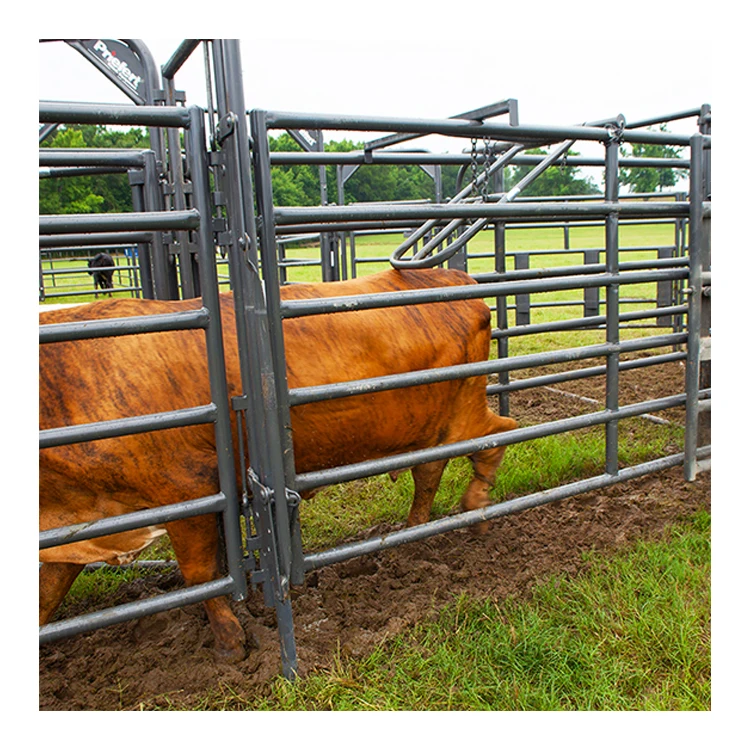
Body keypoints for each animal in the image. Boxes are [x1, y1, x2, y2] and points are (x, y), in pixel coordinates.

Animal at [39, 268, 518, 663]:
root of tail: (452, 276)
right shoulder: (75, 531)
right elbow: (46, 594)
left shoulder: (187, 488)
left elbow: (198, 574)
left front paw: (229, 640)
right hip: (431, 425)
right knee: (430, 470)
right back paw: (412, 533)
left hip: (463, 410)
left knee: (499, 434)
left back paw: (475, 506)